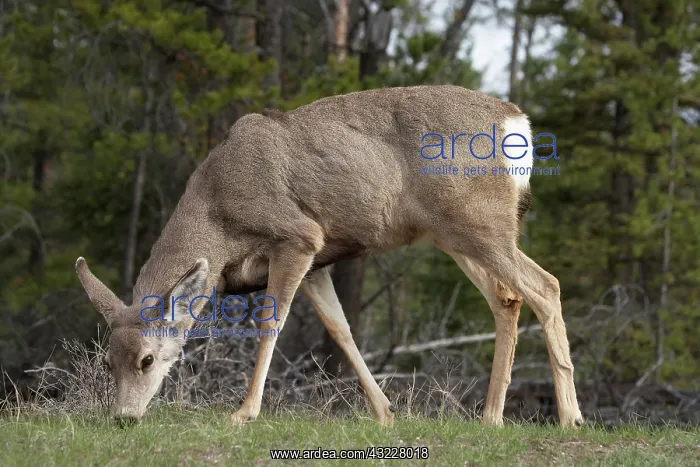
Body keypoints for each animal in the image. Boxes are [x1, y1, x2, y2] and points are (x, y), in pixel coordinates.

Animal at [75, 85, 584, 429]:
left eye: (146, 360)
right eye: (108, 362)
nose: (123, 417)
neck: (218, 218)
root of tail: (516, 121)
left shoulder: (299, 237)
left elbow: (271, 325)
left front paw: (245, 412)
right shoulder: (317, 263)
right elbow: (340, 329)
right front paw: (384, 412)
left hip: (480, 223)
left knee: (546, 286)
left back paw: (570, 417)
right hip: (454, 234)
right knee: (508, 298)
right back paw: (491, 418)